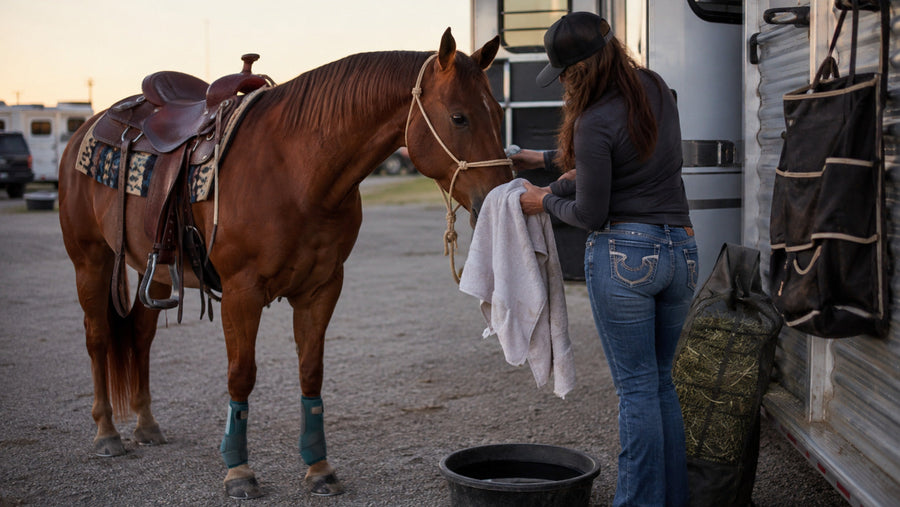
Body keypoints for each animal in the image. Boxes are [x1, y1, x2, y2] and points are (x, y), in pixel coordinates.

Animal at [58, 28, 512, 499]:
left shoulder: (322, 287)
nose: (498, 193)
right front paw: (239, 470)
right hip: (90, 261)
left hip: (159, 273)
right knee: (97, 338)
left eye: (498, 112)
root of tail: (89, 126)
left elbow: (311, 372)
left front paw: (319, 467)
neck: (295, 170)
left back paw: (146, 425)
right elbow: (241, 374)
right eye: (459, 118)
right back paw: (107, 433)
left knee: (141, 338)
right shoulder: (241, 292)